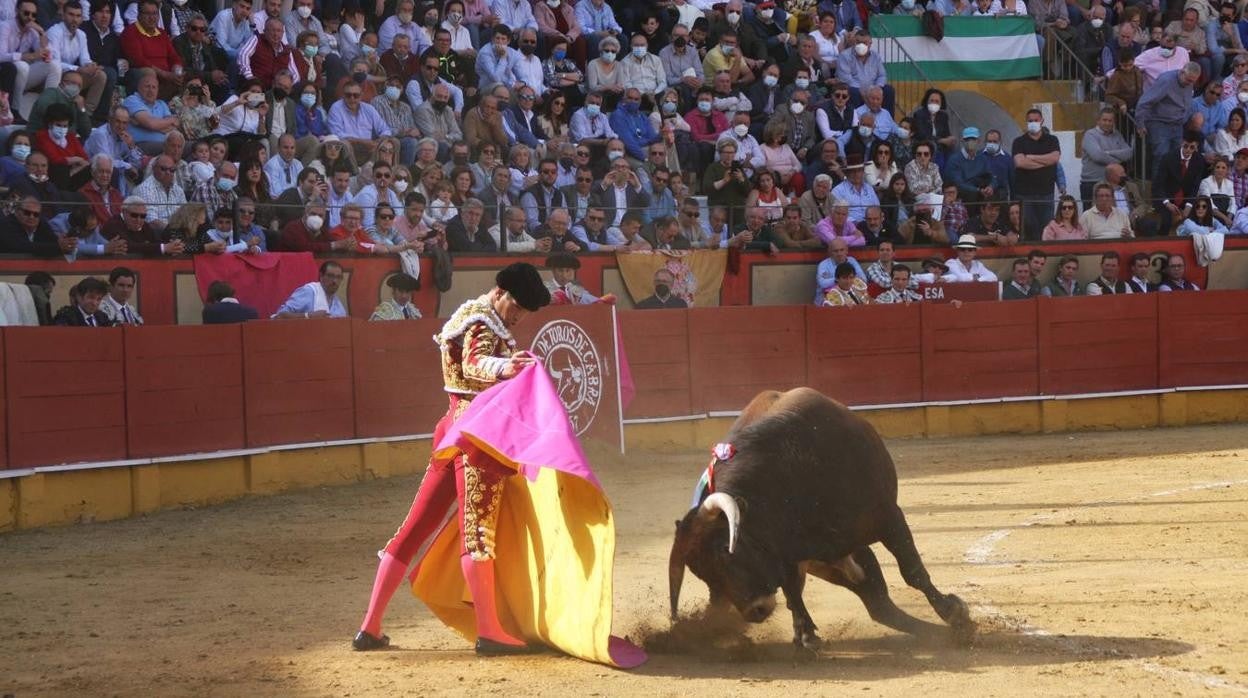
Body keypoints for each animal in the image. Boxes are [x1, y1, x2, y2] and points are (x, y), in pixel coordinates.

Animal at [673, 387, 973, 649]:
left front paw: (954, 612)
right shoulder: (785, 553)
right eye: (702, 574)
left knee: (879, 601)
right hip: (827, 562)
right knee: (875, 604)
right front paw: (806, 634)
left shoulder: (888, 517)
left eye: (726, 550)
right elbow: (791, 591)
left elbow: (913, 571)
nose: (754, 611)